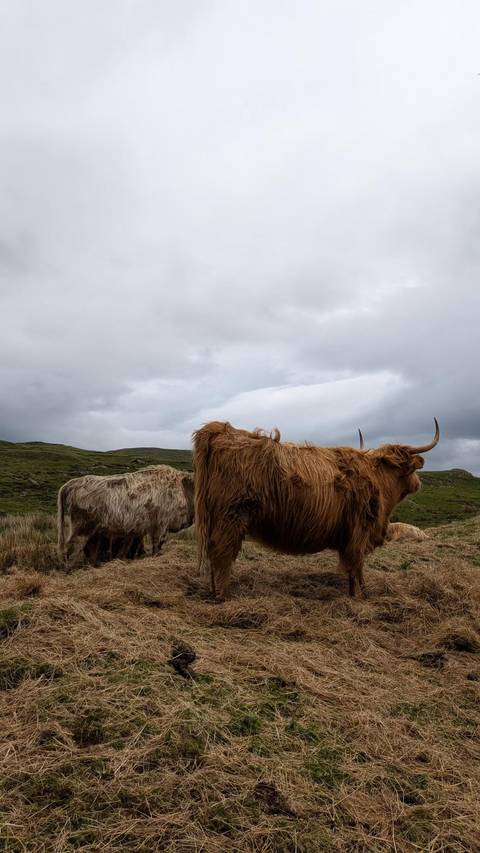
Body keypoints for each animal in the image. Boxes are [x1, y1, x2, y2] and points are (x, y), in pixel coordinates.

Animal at [57, 465, 195, 569]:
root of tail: (72, 483)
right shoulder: (161, 524)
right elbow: (157, 546)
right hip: (82, 529)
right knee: (71, 550)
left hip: (92, 531)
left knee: (90, 550)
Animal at [192, 419, 439, 598]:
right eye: (411, 469)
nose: (418, 483)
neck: (379, 480)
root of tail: (220, 429)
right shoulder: (360, 531)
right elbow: (356, 565)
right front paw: (361, 595)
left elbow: (351, 566)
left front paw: (353, 593)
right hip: (230, 516)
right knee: (222, 553)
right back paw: (224, 594)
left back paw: (214, 590)